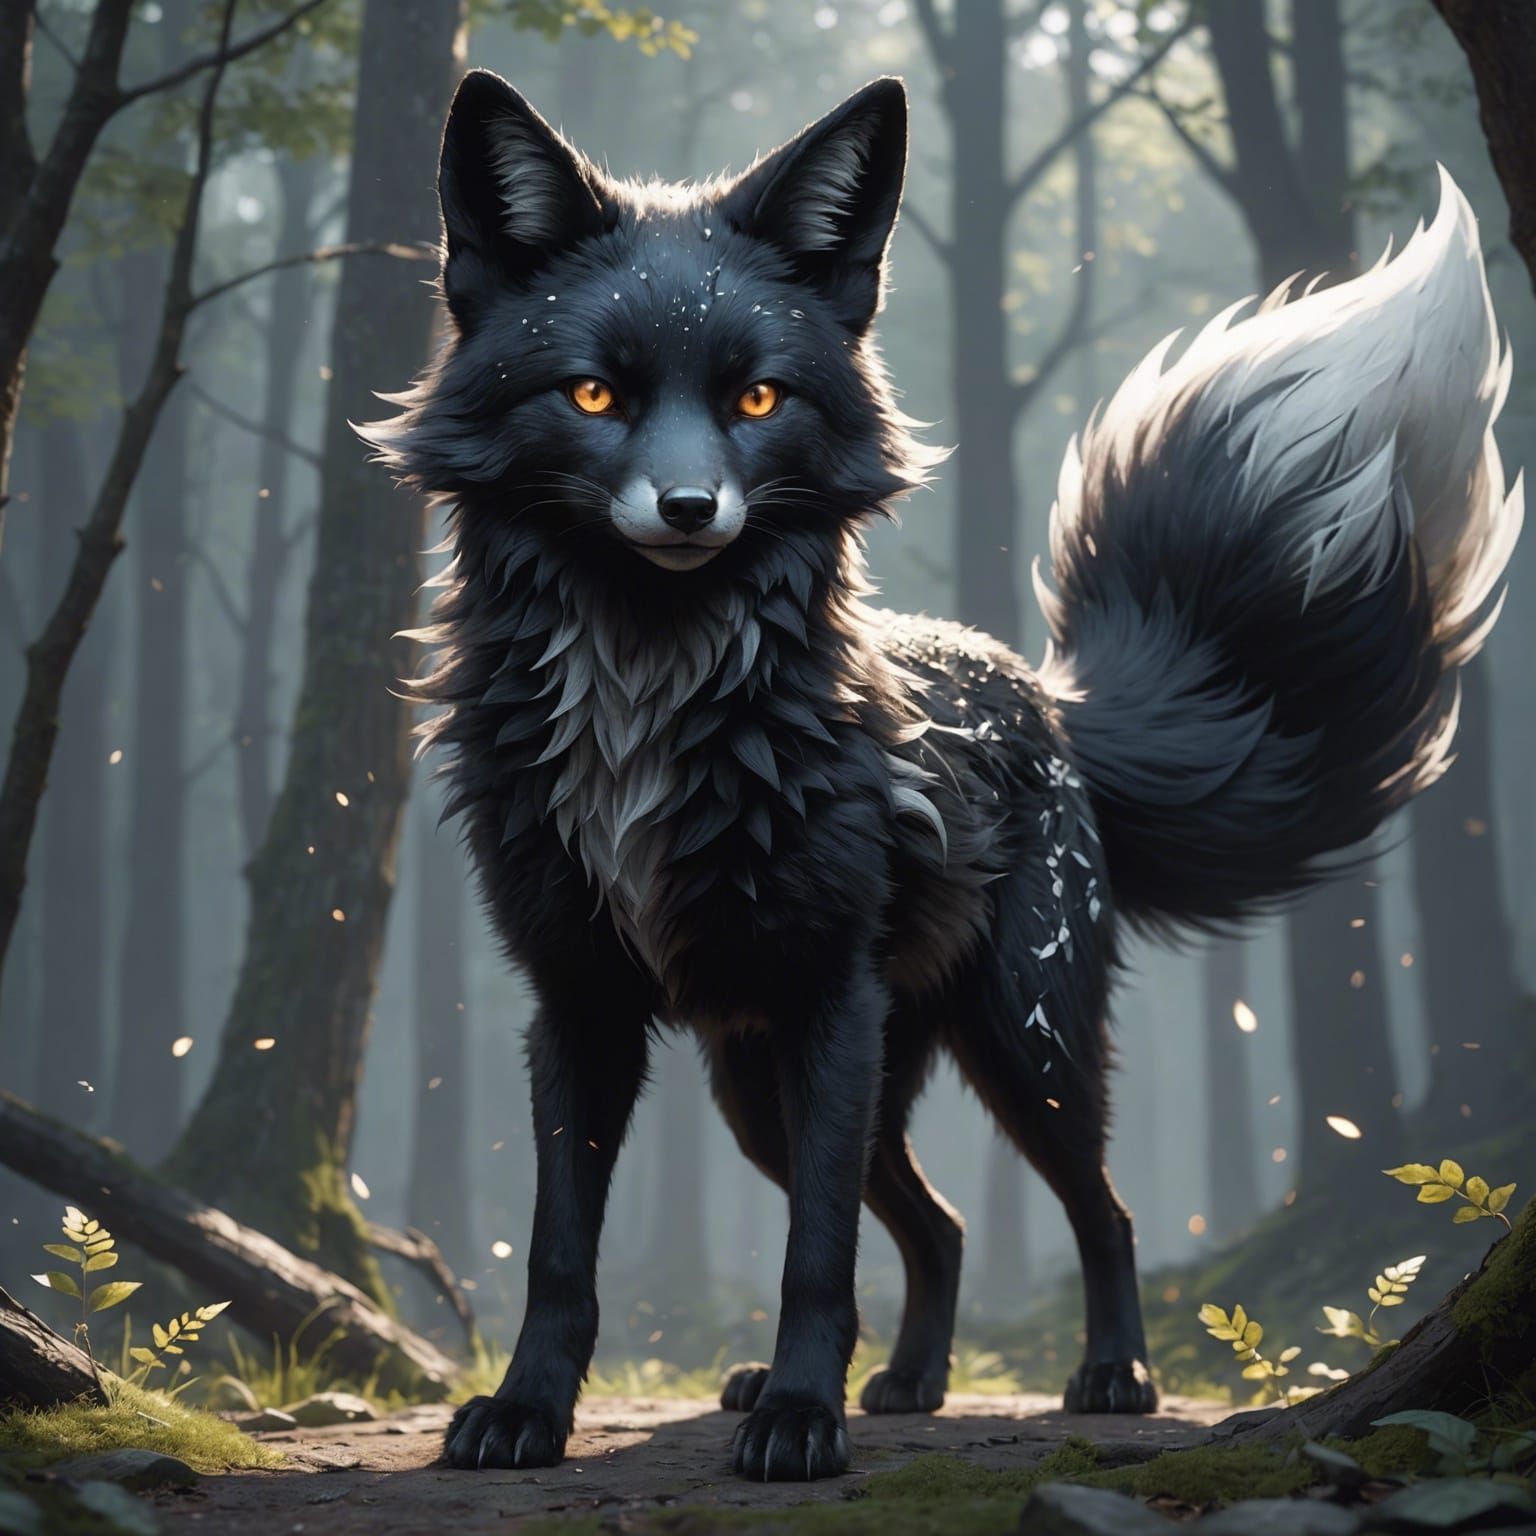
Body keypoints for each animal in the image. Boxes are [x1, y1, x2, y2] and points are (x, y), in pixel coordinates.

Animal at [364, 71, 1521, 1481]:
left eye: (759, 401)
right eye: (593, 396)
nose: (690, 509)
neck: (650, 695)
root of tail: (1049, 699)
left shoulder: (829, 1000)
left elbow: (814, 1256)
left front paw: (800, 1423)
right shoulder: (576, 1001)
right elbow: (559, 1252)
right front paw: (528, 1412)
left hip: (1019, 1043)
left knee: (1097, 1209)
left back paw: (1110, 1375)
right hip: (763, 1089)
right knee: (944, 1221)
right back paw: (907, 1383)